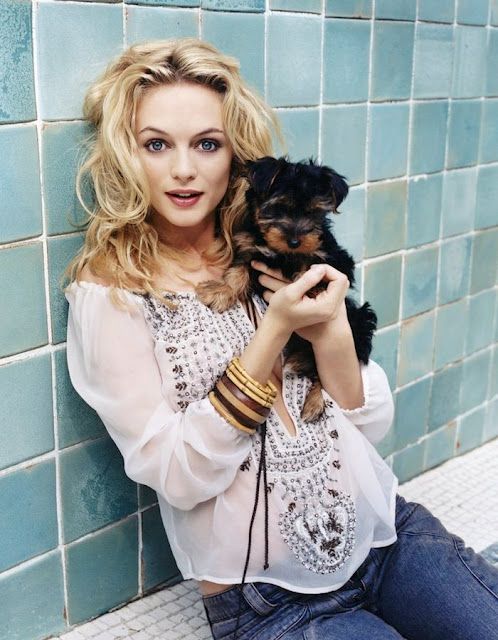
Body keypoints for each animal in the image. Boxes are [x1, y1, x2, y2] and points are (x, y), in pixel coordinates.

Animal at [196, 157, 376, 422]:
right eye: (278, 209)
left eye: (313, 212)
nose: (294, 241)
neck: (282, 253)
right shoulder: (250, 247)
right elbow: (238, 271)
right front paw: (220, 291)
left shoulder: (329, 257)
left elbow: (309, 268)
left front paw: (308, 290)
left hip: (358, 323)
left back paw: (314, 403)